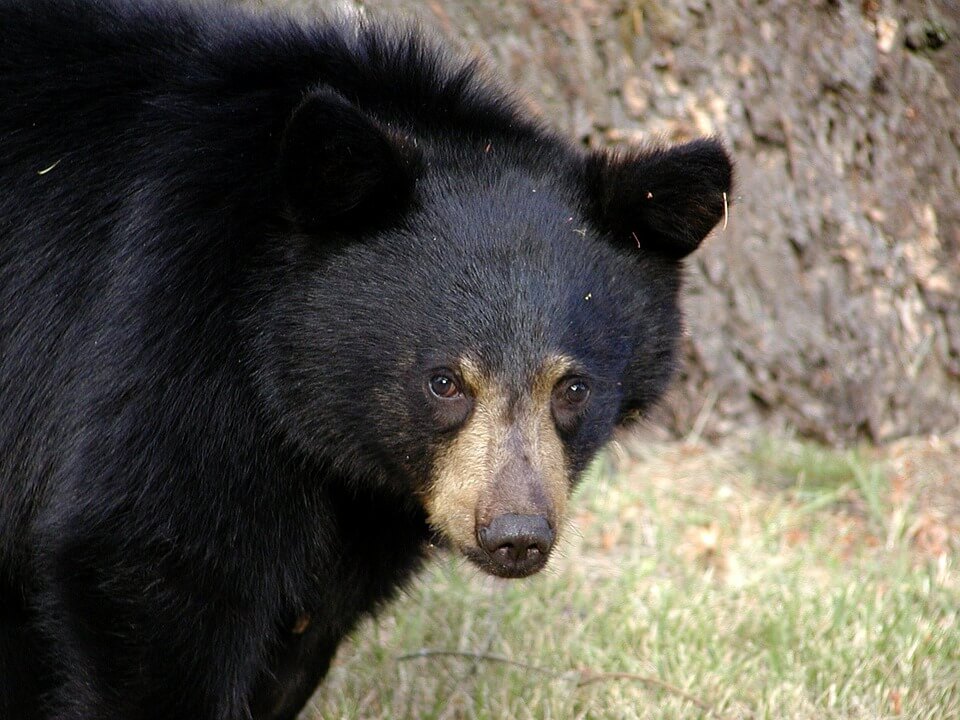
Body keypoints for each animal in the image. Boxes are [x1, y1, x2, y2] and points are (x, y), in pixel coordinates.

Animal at [0, 1, 732, 720]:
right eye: (444, 382)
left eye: (572, 387)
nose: (516, 535)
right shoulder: (161, 331)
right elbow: (150, 563)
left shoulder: (368, 501)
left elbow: (303, 628)